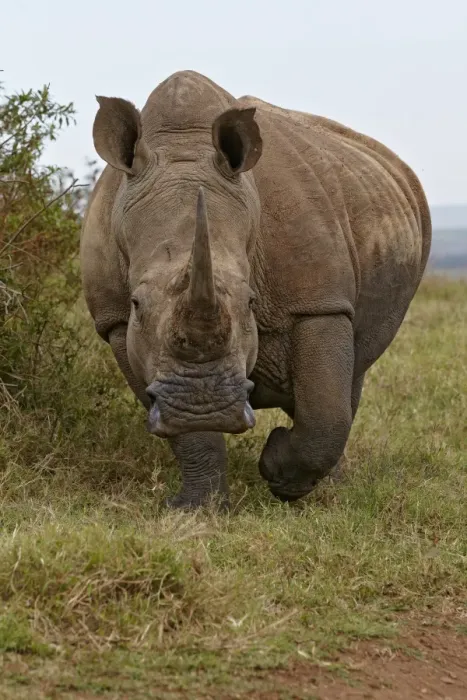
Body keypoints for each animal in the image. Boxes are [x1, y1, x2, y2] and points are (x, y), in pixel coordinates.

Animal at [81, 70, 431, 509]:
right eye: (136, 304)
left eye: (251, 302)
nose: (205, 404)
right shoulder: (114, 321)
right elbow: (183, 428)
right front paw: (198, 506)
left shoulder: (319, 302)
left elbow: (325, 412)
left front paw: (279, 473)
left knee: (352, 371)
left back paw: (330, 488)